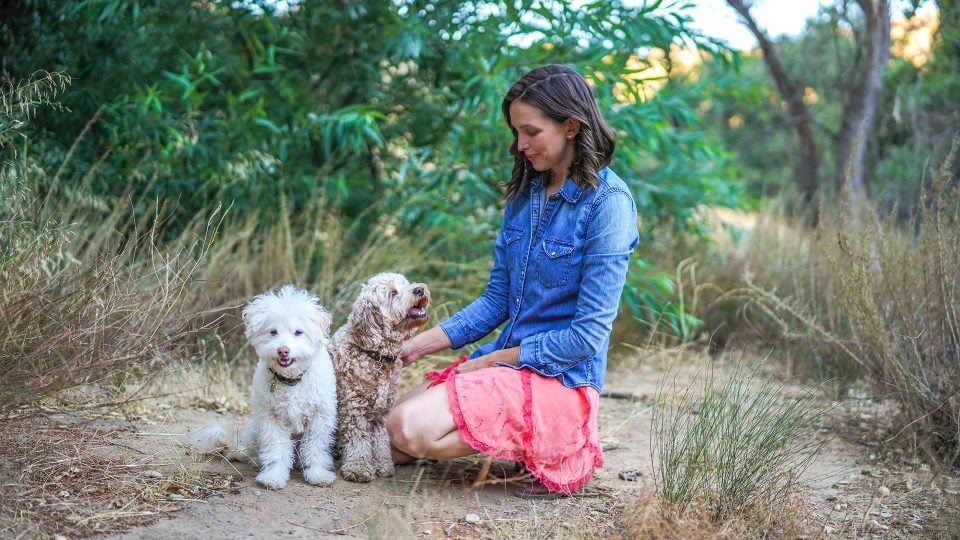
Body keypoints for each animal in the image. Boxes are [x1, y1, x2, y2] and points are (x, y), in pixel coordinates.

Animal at [191, 286, 338, 490]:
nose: (283, 350)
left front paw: (318, 474)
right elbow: (276, 449)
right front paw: (274, 476)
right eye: (273, 332)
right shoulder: (271, 419)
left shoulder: (319, 418)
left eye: (298, 332)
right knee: (251, 452)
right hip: (255, 429)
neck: (291, 380)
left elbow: (315, 448)